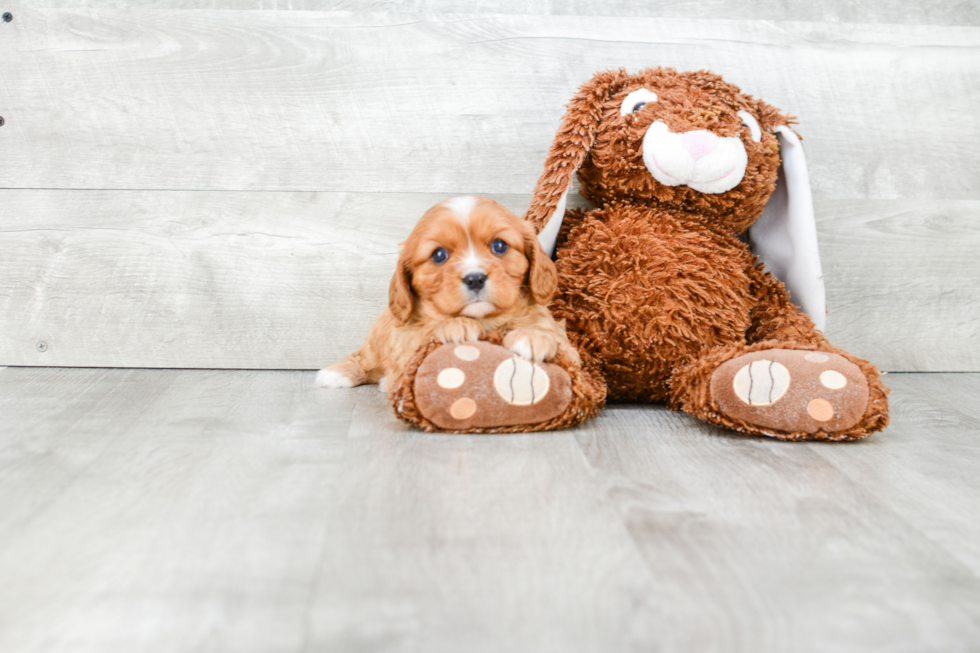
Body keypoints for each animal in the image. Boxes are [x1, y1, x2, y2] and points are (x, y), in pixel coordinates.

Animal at [314, 194, 580, 390]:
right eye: (439, 255)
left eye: (499, 246)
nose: (475, 279)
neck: (486, 321)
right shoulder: (406, 344)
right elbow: (425, 332)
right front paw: (456, 326)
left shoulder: (572, 353)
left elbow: (556, 340)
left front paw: (533, 337)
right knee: (365, 359)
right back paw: (340, 372)